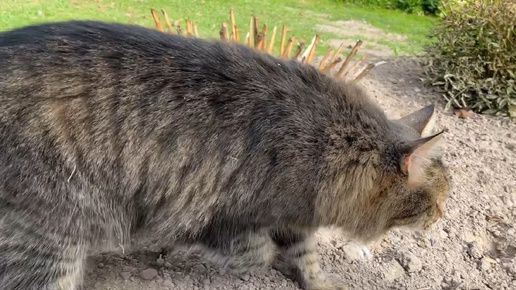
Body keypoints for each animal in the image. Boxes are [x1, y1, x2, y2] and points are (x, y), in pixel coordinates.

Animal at [0, 20, 452, 290]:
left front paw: (317, 281)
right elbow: (256, 252)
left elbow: (305, 257)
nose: (440, 217)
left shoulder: (297, 216)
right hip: (54, 234)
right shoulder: (212, 211)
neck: (332, 143)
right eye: (436, 202)